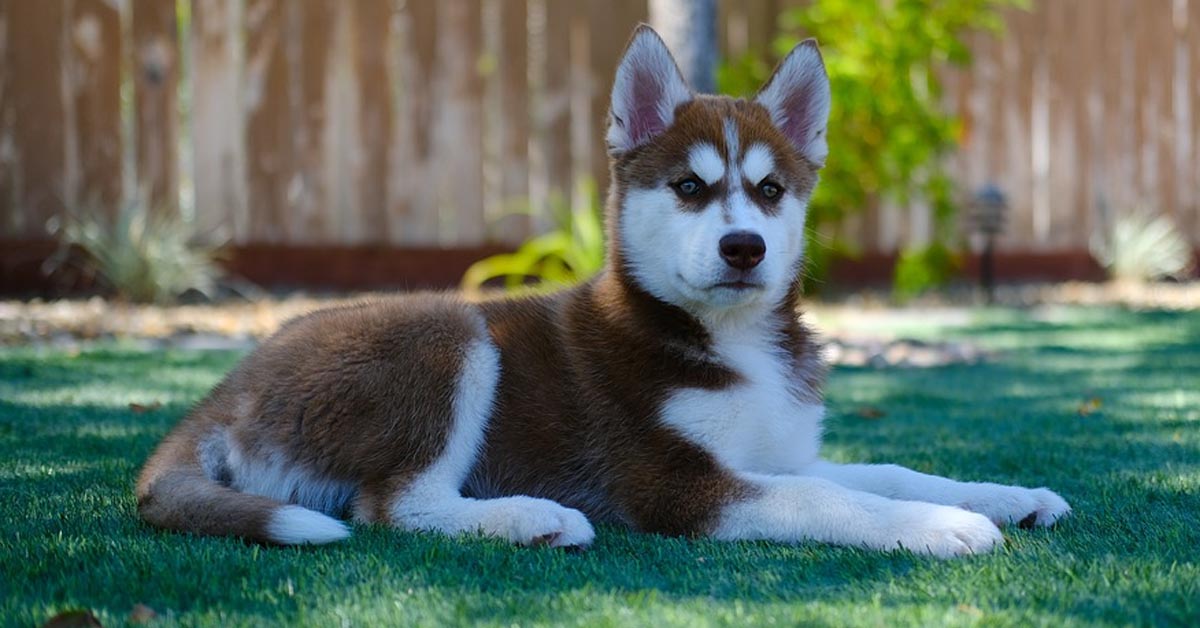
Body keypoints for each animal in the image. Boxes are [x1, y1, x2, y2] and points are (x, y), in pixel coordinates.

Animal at [138, 24, 1070, 557]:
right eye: (690, 188)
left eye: (770, 191)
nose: (743, 247)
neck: (732, 341)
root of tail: (226, 389)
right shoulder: (674, 482)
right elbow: (829, 497)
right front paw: (944, 528)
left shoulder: (779, 451)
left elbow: (893, 470)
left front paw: (1005, 496)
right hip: (447, 335)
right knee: (392, 505)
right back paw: (530, 518)